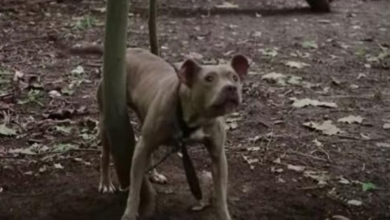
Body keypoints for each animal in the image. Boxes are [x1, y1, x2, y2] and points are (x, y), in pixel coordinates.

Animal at [69, 45, 248, 220]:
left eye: (234, 78)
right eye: (209, 79)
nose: (231, 88)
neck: (193, 116)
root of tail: (127, 51)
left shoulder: (218, 157)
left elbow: (221, 195)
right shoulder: (141, 148)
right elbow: (134, 191)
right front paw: (129, 214)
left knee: (150, 152)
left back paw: (154, 175)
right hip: (106, 119)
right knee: (105, 154)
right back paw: (106, 182)